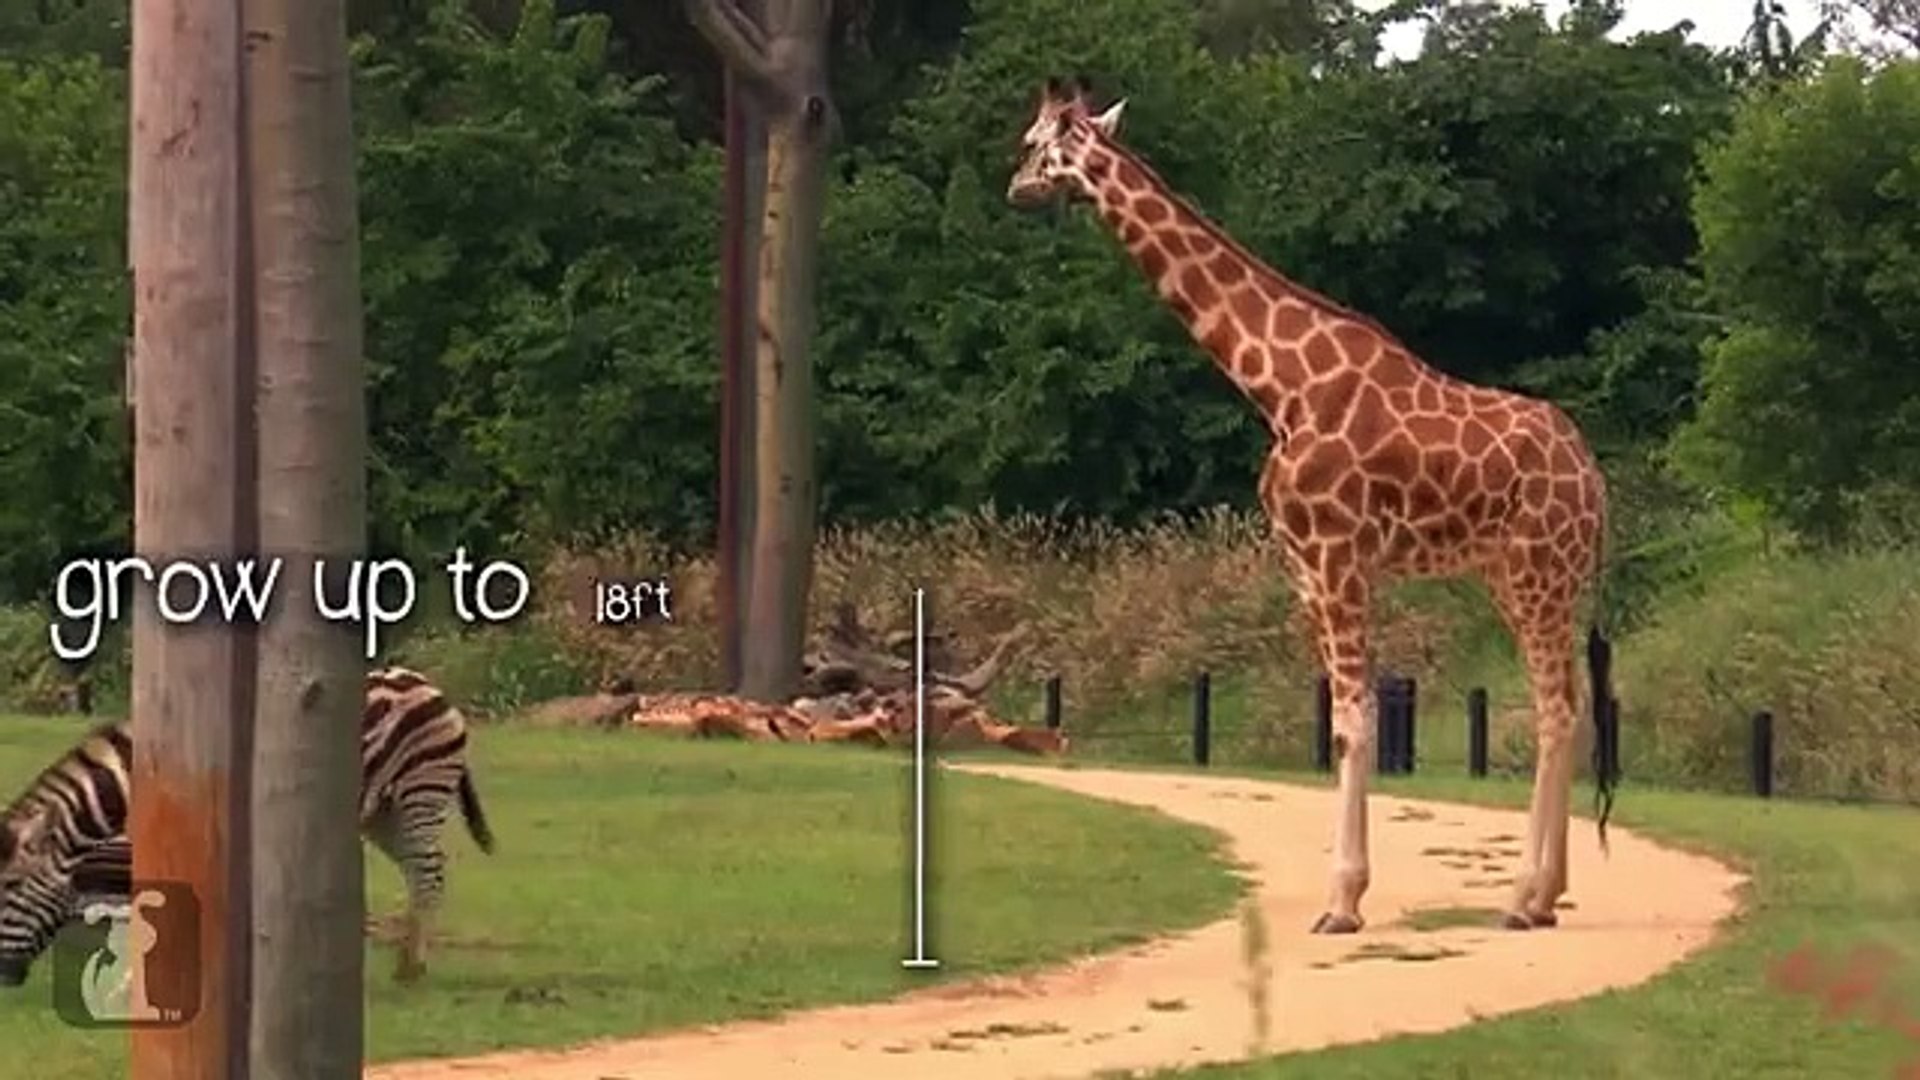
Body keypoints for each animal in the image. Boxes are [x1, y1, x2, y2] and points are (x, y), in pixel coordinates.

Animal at [1005, 77, 1614, 934]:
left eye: (1034, 143)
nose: (1014, 187)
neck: (1278, 388)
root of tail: (1592, 476)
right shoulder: (1304, 568)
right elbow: (1335, 719)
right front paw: (1347, 893)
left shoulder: (1337, 556)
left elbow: (1354, 721)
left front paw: (1343, 902)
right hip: (1526, 576)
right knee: (1573, 706)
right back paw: (1550, 893)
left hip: (1537, 571)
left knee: (1558, 708)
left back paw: (1524, 899)